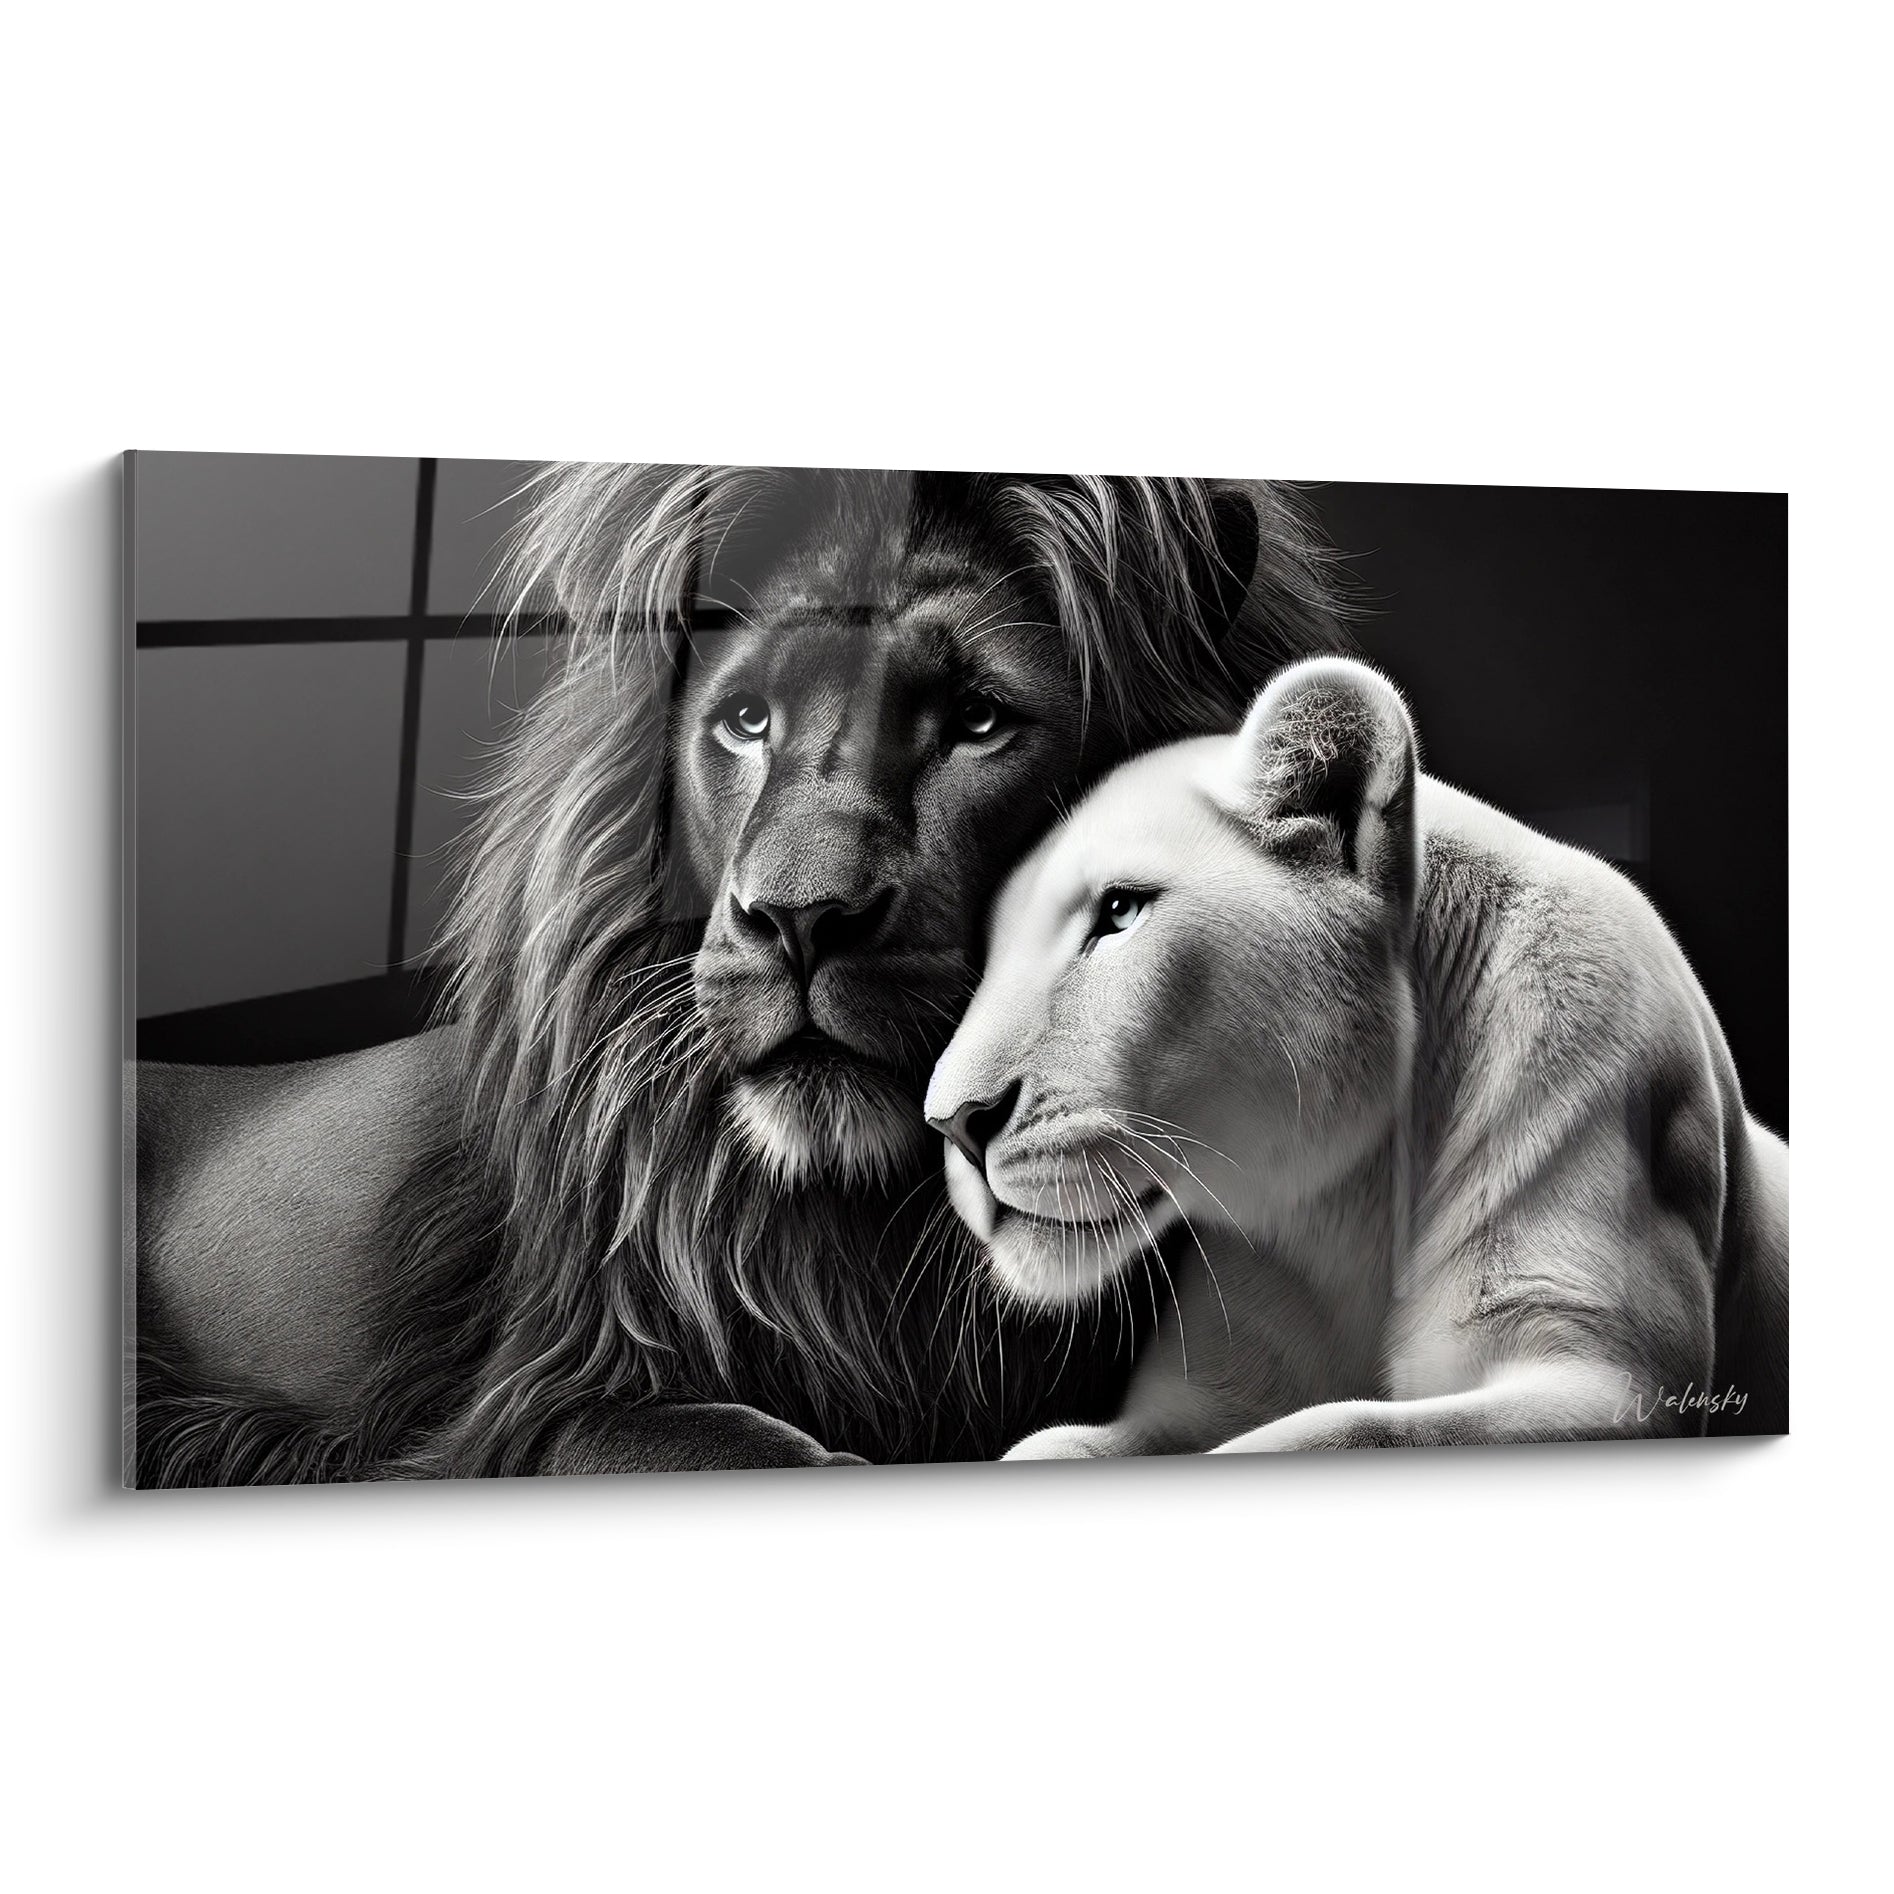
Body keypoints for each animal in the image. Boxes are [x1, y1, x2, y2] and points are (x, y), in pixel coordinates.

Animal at [924, 657, 1788, 1456]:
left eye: (1120, 910)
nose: (954, 1122)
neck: (1352, 1211)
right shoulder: (1209, 1392)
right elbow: (1057, 1444)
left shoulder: (1608, 1376)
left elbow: (1343, 1430)